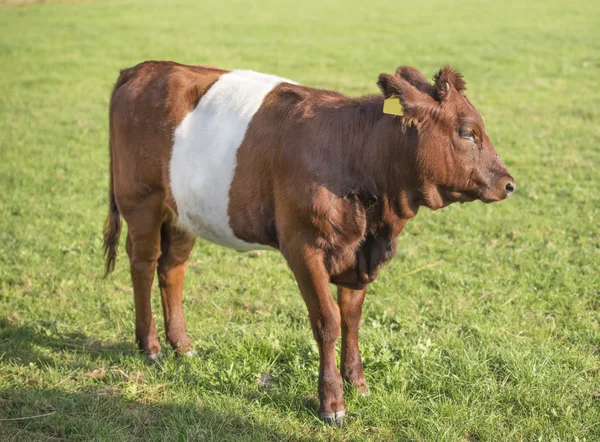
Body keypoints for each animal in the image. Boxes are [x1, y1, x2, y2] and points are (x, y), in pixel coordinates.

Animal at [104, 62, 516, 424]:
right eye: (467, 132)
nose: (509, 183)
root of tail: (140, 69)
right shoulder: (303, 248)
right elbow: (327, 320)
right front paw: (332, 403)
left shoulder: (358, 255)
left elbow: (352, 317)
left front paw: (358, 382)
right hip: (141, 200)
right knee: (143, 263)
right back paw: (151, 347)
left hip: (183, 211)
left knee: (172, 267)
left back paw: (182, 346)